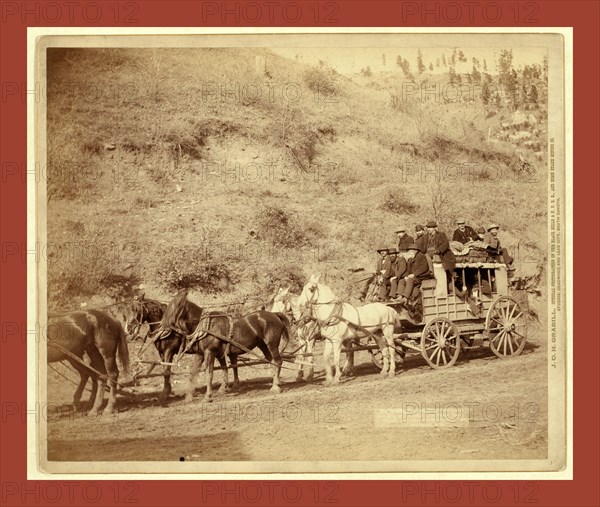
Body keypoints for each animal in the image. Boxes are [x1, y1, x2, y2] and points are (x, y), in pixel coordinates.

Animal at [155, 292, 290, 402]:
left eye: (176, 306)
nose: (162, 326)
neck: (205, 326)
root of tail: (275, 315)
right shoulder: (200, 354)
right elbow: (193, 372)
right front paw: (188, 396)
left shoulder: (210, 352)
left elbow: (209, 373)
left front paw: (207, 396)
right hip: (263, 345)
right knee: (272, 362)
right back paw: (275, 383)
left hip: (272, 344)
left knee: (278, 361)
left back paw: (276, 387)